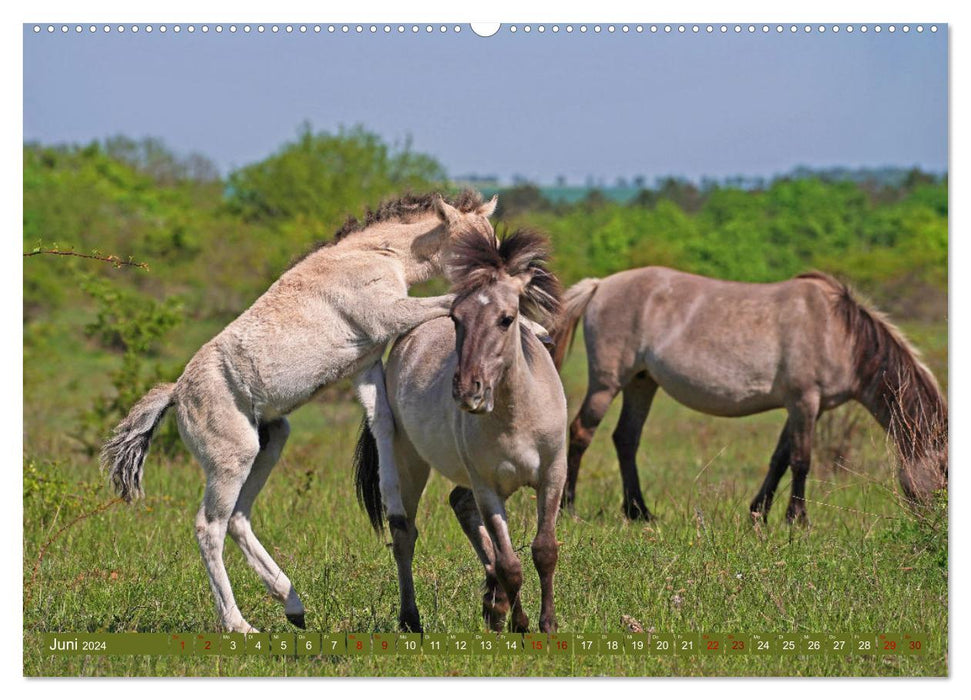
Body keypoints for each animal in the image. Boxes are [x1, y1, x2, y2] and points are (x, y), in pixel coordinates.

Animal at [100, 191, 502, 636]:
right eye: (469, 246)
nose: (500, 269)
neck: (380, 255)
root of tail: (176, 393)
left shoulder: (364, 366)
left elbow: (382, 424)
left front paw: (392, 500)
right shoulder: (391, 315)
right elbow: (448, 302)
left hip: (271, 441)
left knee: (238, 518)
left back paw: (291, 603)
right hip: (232, 459)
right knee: (209, 527)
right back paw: (238, 624)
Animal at [356, 230, 568, 636]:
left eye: (506, 319)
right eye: (456, 318)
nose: (468, 391)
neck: (517, 418)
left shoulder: (552, 476)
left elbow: (544, 550)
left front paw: (546, 624)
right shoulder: (488, 488)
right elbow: (510, 564)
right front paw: (520, 625)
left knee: (459, 503)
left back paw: (493, 603)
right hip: (410, 463)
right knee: (405, 534)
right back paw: (412, 619)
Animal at [556, 268, 948, 524]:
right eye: (945, 467)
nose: (936, 523)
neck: (838, 333)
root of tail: (600, 285)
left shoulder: (807, 407)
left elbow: (780, 458)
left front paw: (759, 513)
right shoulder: (804, 401)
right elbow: (802, 460)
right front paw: (797, 520)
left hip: (642, 382)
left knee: (626, 439)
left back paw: (639, 512)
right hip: (607, 382)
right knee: (580, 433)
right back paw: (568, 508)